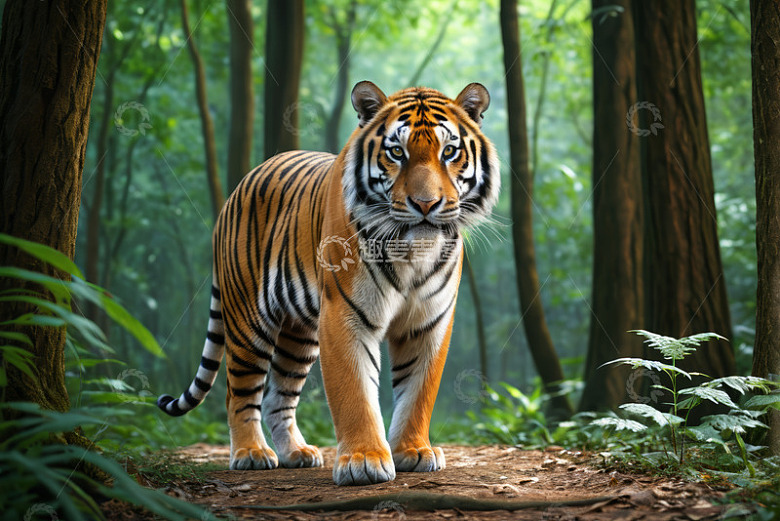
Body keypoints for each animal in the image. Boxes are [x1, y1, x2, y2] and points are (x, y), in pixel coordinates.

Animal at [157, 81, 500, 485]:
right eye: (396, 152)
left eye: (449, 152)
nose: (426, 204)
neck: (411, 253)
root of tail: (240, 185)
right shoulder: (344, 316)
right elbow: (355, 392)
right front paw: (364, 460)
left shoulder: (428, 322)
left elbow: (418, 392)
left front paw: (413, 451)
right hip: (247, 320)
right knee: (239, 392)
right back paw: (251, 453)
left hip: (299, 335)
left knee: (277, 397)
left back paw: (297, 453)